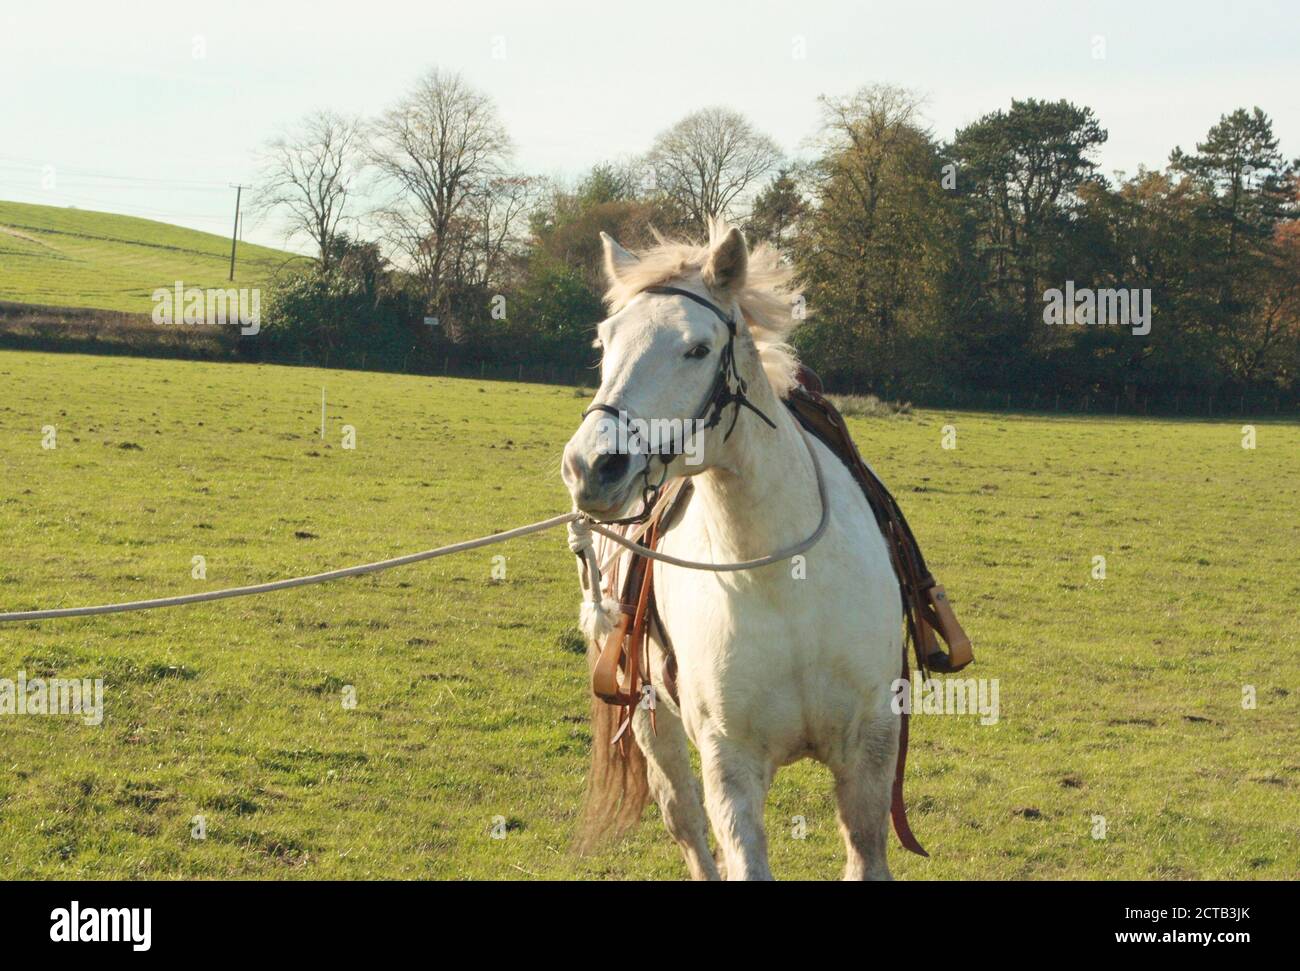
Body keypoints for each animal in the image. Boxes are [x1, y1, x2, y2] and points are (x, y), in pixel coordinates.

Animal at [561, 221, 905, 880]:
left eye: (697, 349)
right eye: (603, 342)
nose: (591, 466)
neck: (785, 580)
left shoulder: (869, 751)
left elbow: (865, 854)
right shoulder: (729, 762)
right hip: (654, 727)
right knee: (687, 824)